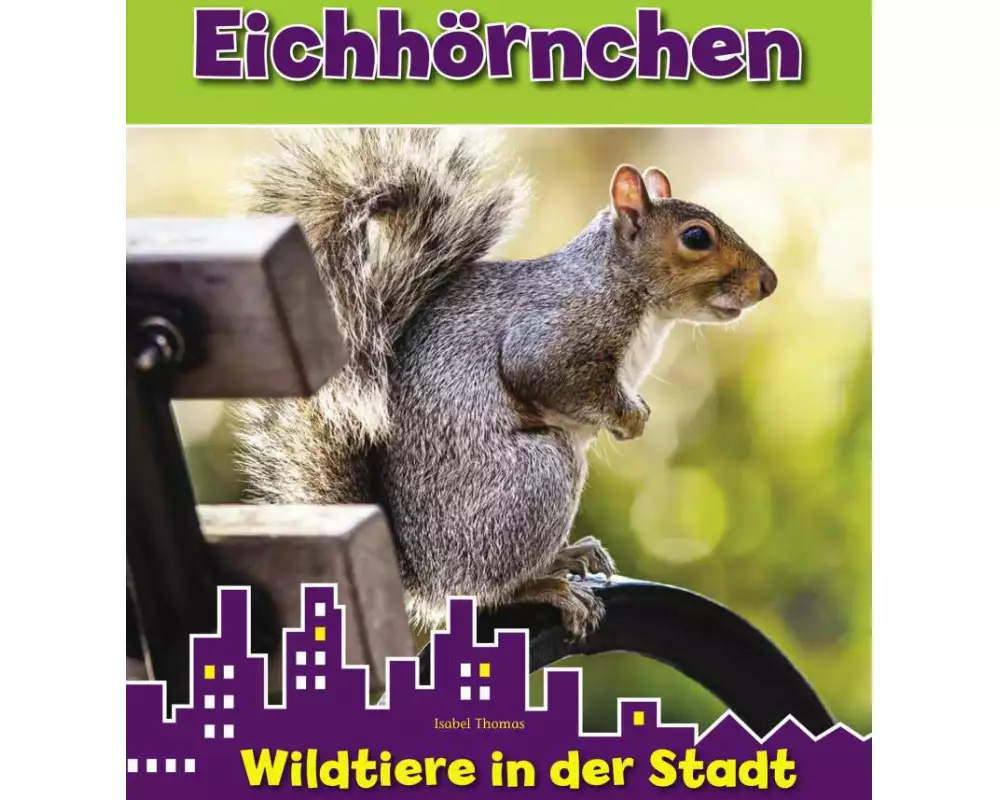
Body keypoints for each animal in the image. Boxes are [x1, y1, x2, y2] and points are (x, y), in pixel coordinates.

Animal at [233, 128, 777, 637]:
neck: (619, 283)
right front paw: (629, 417)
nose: (768, 283)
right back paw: (550, 586)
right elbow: (546, 374)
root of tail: (425, 578)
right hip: (538, 476)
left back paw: (568, 558)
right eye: (696, 238)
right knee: (494, 589)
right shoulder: (555, 334)